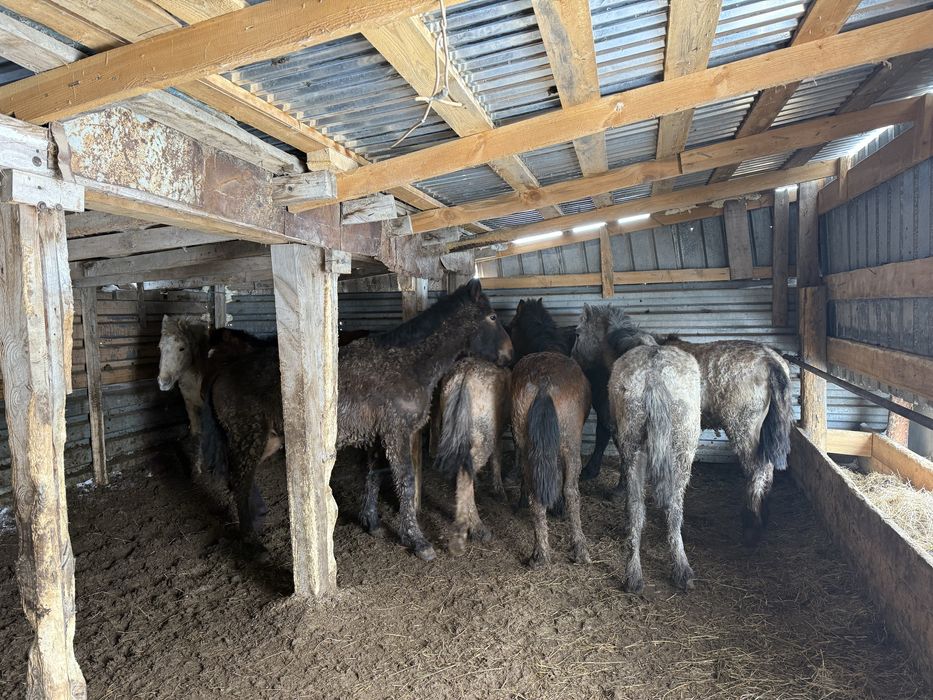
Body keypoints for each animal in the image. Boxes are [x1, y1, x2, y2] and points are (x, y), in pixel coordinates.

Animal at [433, 357, 511, 555]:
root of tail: (465, 376)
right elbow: (497, 457)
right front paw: (499, 490)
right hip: (483, 436)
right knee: (465, 472)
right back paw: (471, 530)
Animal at [509, 298, 591, 568]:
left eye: (512, 325)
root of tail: (544, 382)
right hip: (570, 446)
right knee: (572, 492)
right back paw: (579, 549)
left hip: (528, 447)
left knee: (535, 493)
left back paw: (540, 553)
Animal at [574, 305, 701, 592]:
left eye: (577, 333)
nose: (573, 358)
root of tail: (654, 376)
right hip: (679, 454)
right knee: (667, 509)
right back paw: (663, 571)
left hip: (648, 452)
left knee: (643, 508)